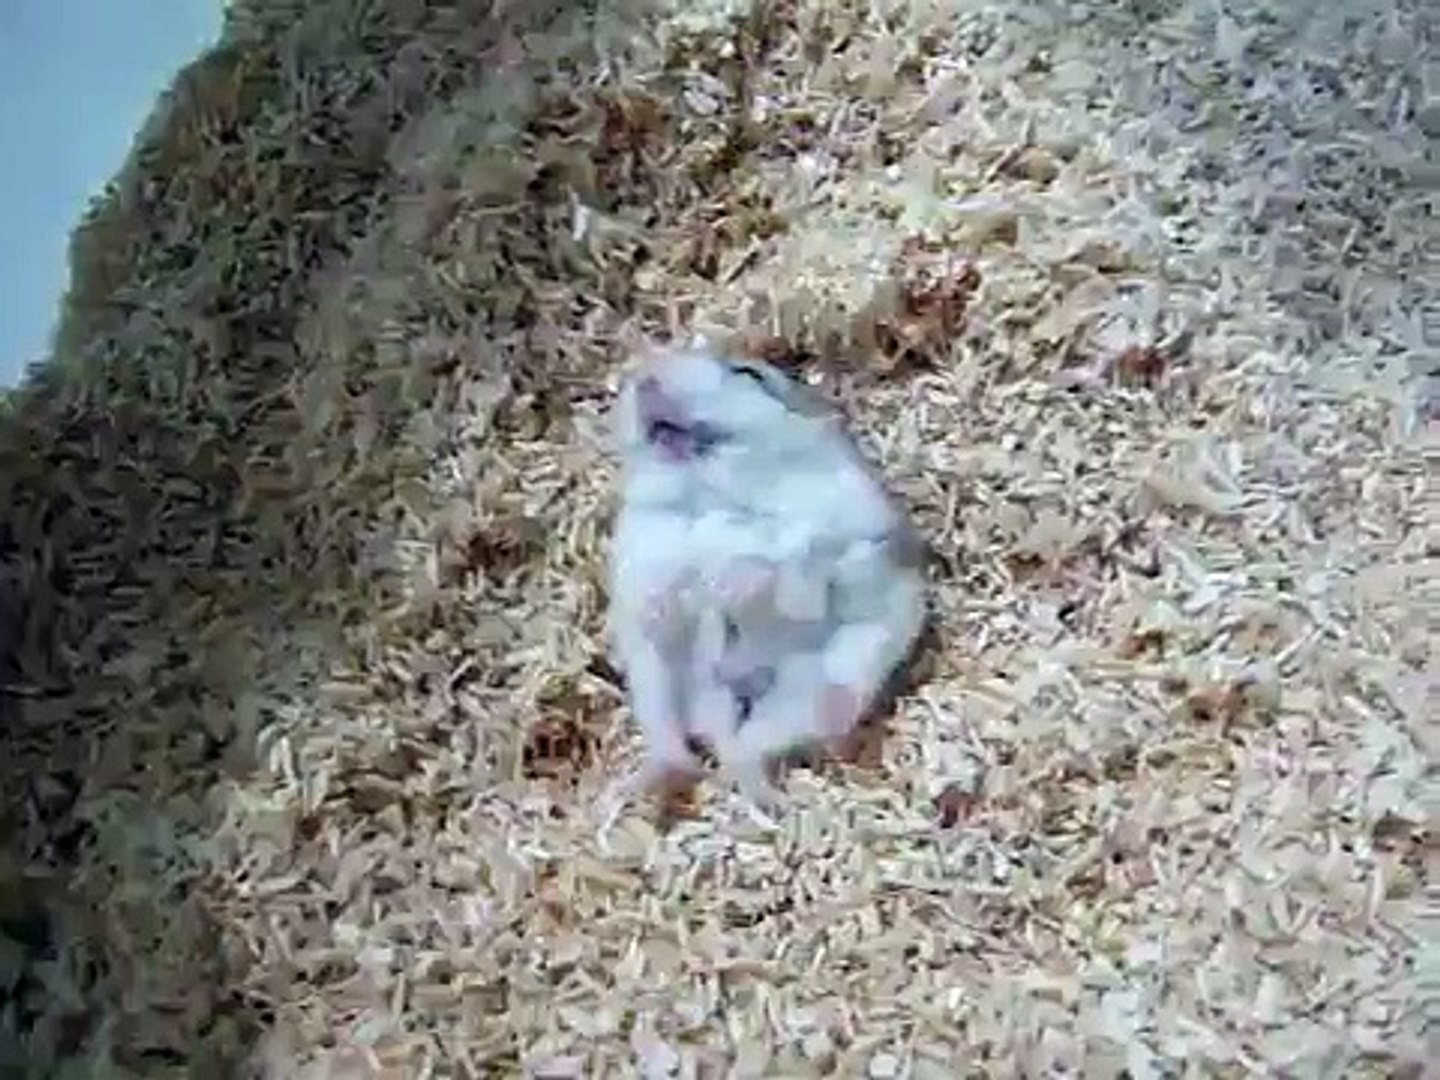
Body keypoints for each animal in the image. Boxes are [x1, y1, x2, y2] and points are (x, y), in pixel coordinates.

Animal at [606, 343, 928, 809]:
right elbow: (661, 595)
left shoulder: (827, 536)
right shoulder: (646, 554)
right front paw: (696, 589)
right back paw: (640, 786)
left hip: (823, 686)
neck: (709, 494)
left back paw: (766, 800)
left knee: (747, 749)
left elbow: (775, 565)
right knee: (674, 740)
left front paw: (724, 584)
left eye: (749, 373)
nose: (646, 376)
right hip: (656, 676)